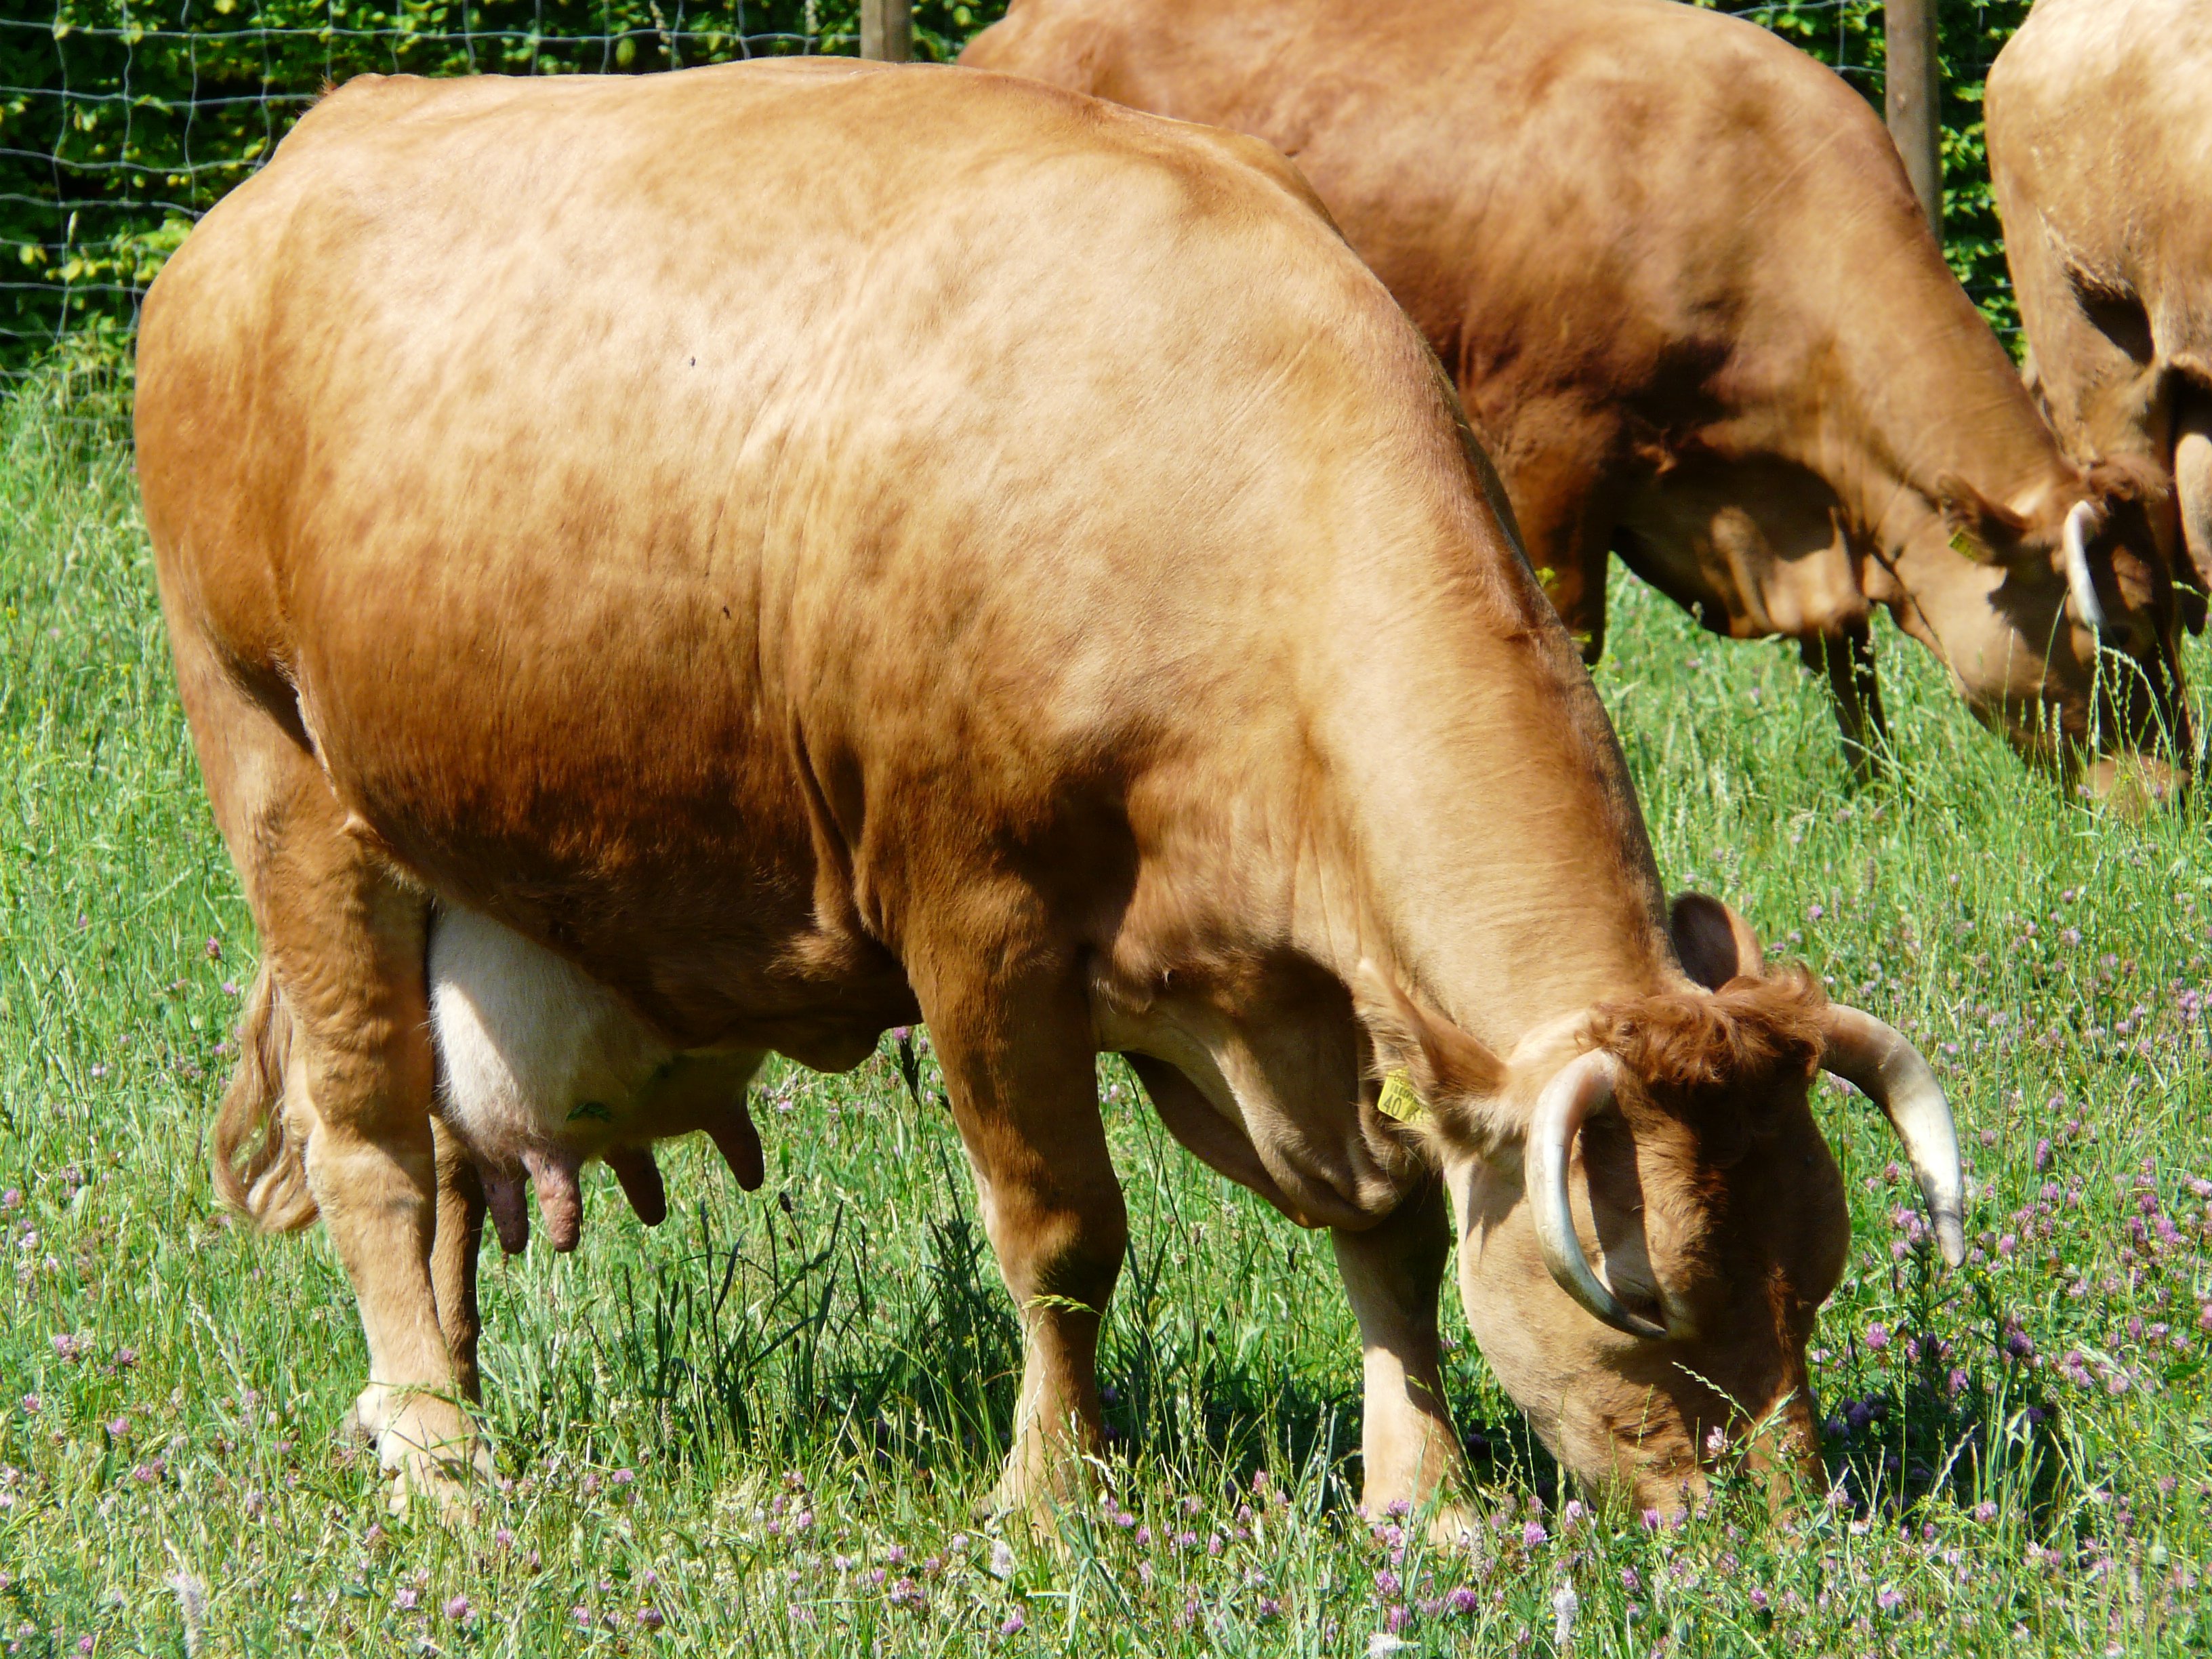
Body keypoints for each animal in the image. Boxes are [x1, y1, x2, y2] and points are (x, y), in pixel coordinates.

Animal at [137, 58, 1962, 1527]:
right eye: (1648, 1305)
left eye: (1819, 1269)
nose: (1776, 1528)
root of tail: (312, 146)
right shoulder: (978, 920)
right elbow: (1066, 1232)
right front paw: (1052, 1499)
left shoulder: (1276, 980)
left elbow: (1383, 1221)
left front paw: (1422, 1498)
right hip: (282, 778)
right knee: (374, 1141)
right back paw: (445, 1463)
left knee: (450, 1162)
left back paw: (419, 1408)